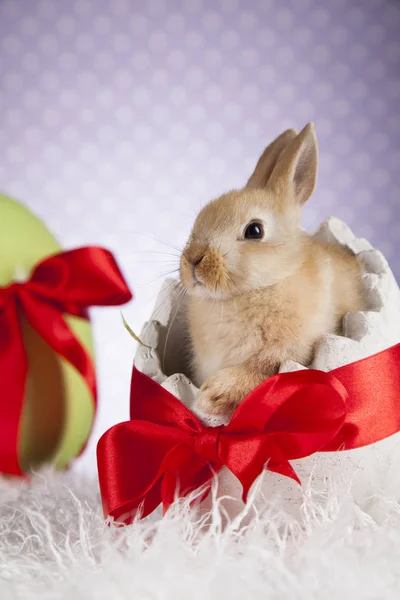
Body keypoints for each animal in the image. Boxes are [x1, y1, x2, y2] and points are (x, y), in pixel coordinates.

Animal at [180, 123, 368, 414]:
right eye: (200, 218)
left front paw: (212, 396)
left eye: (255, 231)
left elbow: (260, 374)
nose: (193, 260)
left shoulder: (286, 355)